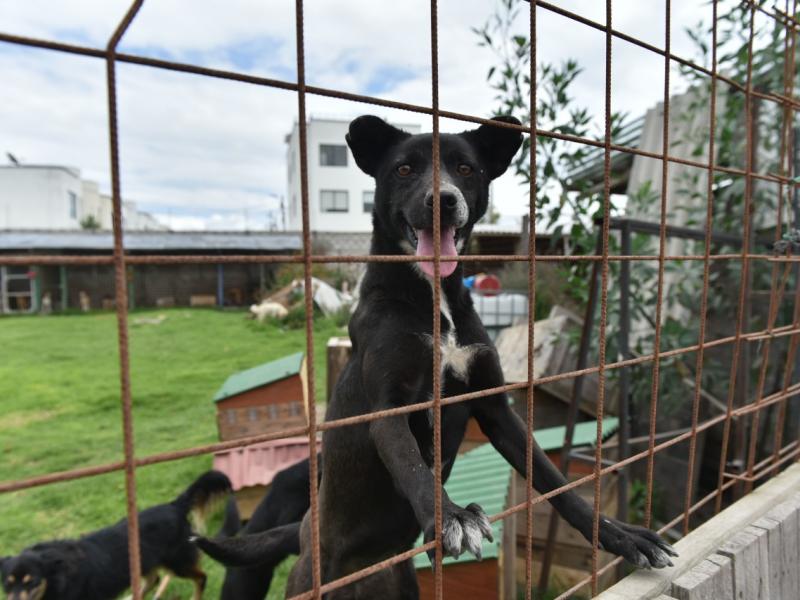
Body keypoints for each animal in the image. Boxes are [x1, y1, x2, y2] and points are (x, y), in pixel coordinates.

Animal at [0, 472, 231, 596]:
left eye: (31, 582)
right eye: (7, 585)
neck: (60, 574)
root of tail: (175, 505)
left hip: (177, 561)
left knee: (201, 578)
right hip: (145, 560)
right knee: (153, 579)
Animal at [198, 115, 676, 596]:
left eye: (465, 169)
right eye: (404, 169)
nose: (443, 201)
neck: (435, 299)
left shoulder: (495, 408)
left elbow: (554, 480)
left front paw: (619, 534)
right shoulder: (389, 410)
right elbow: (414, 466)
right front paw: (453, 517)